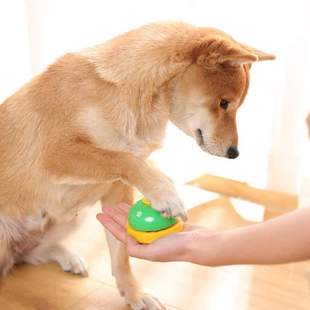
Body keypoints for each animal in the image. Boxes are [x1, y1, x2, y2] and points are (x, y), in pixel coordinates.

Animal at [0, 22, 274, 310]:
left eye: (234, 105)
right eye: (223, 103)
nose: (235, 153)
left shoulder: (116, 189)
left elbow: (121, 256)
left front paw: (134, 294)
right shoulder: (57, 154)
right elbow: (124, 158)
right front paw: (165, 192)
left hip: (72, 218)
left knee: (33, 254)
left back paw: (68, 257)